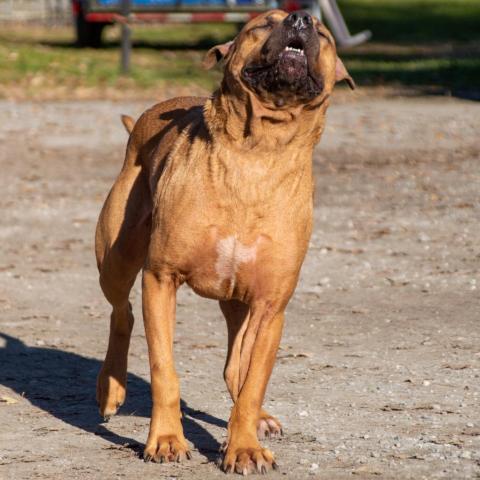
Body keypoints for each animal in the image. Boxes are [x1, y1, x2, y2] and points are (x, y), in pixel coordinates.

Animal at [94, 9, 352, 474]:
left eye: (323, 35)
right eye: (263, 24)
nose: (301, 18)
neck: (259, 151)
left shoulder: (270, 304)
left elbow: (253, 380)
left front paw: (245, 446)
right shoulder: (160, 279)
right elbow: (164, 369)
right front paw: (165, 440)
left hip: (238, 300)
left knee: (236, 365)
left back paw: (258, 419)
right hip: (117, 258)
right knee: (121, 313)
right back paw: (111, 390)